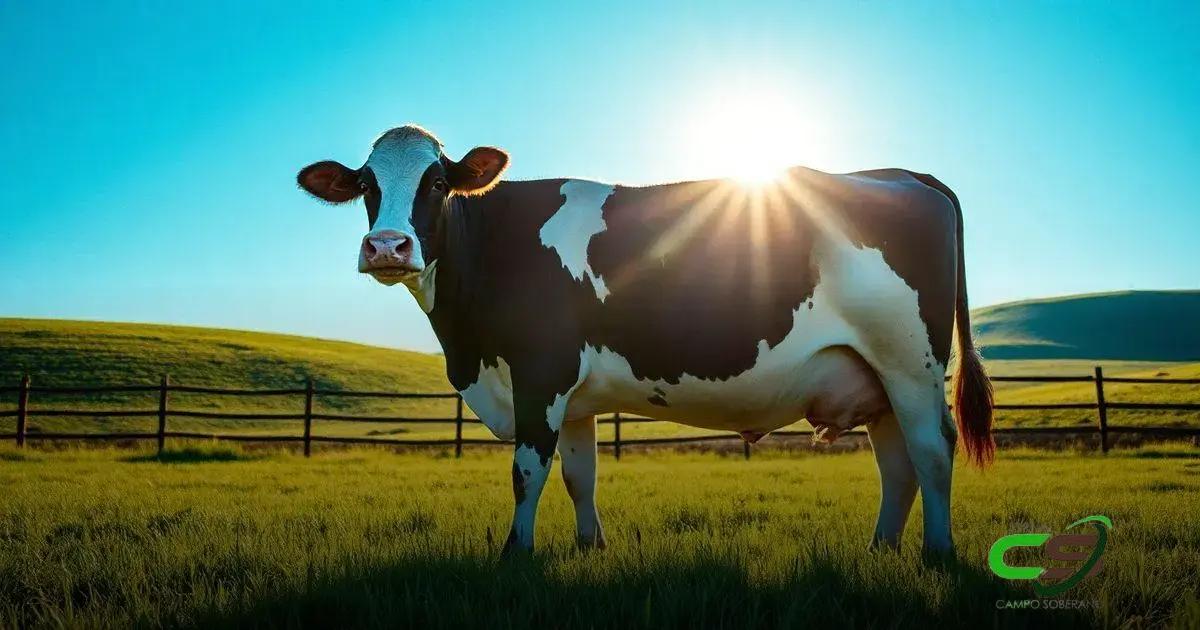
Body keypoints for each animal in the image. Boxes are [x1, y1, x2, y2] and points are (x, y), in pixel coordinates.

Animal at [297, 124, 994, 555]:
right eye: (366, 185)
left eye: (437, 183)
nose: (388, 247)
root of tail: (902, 174)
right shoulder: (572, 395)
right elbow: (579, 474)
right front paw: (588, 547)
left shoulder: (540, 370)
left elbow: (527, 471)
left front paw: (514, 555)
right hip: (875, 378)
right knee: (898, 464)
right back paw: (882, 549)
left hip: (910, 361)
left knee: (932, 450)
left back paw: (937, 554)